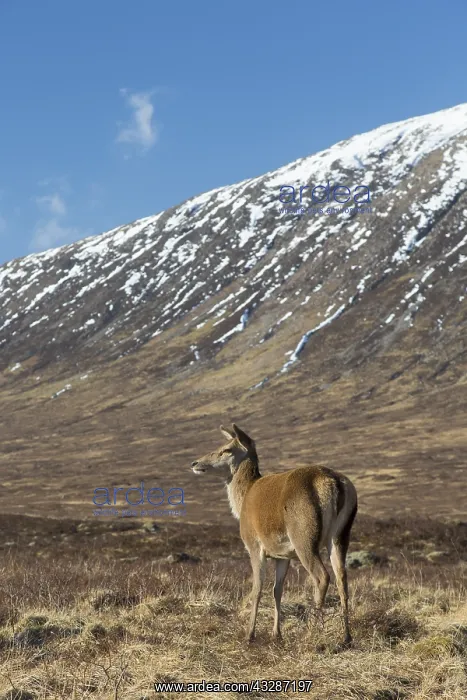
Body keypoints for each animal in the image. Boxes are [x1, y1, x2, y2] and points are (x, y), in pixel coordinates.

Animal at [191, 423, 358, 647]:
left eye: (226, 449)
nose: (195, 463)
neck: (242, 500)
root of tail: (334, 483)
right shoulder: (282, 554)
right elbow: (277, 590)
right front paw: (276, 634)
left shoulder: (254, 545)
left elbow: (257, 588)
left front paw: (249, 635)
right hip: (341, 534)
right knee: (342, 578)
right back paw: (346, 636)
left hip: (304, 537)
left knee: (322, 576)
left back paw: (310, 634)